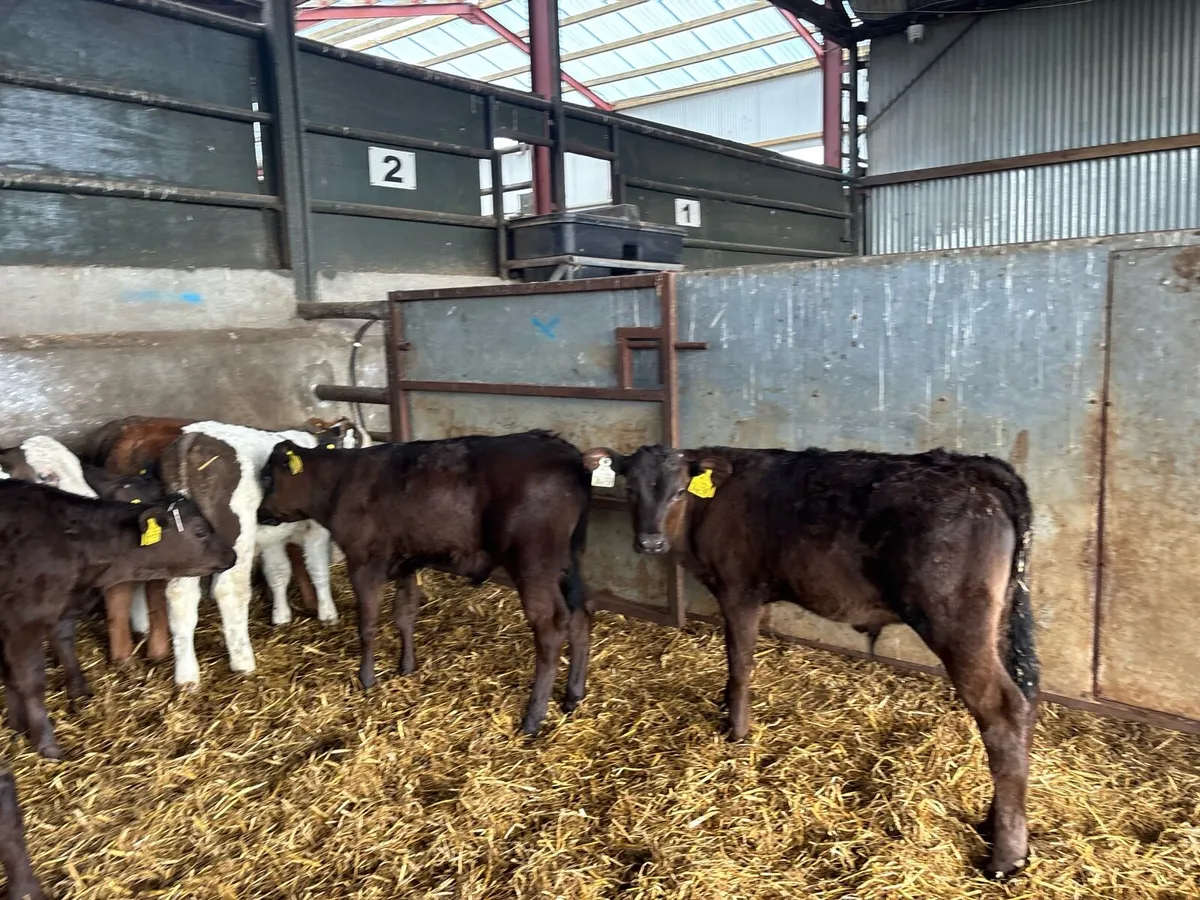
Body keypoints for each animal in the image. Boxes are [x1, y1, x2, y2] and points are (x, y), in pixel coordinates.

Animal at [0, 479, 236, 758]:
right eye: (200, 531)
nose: (232, 554)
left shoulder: (59, 609)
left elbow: (59, 648)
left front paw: (72, 696)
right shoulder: (24, 622)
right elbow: (30, 681)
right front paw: (45, 742)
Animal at [257, 430, 593, 736]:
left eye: (268, 477)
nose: (260, 513)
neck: (340, 482)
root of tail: (562, 450)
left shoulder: (363, 563)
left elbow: (367, 626)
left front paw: (366, 678)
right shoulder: (405, 562)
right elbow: (404, 616)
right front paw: (406, 666)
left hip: (533, 564)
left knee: (551, 627)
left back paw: (533, 718)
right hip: (569, 565)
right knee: (580, 616)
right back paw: (572, 697)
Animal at [581, 442, 1038, 879]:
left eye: (678, 491)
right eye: (629, 488)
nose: (650, 542)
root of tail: (973, 467)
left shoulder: (740, 590)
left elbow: (739, 661)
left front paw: (737, 730)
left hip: (956, 624)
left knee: (1003, 712)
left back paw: (1006, 856)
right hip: (997, 624)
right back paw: (994, 823)